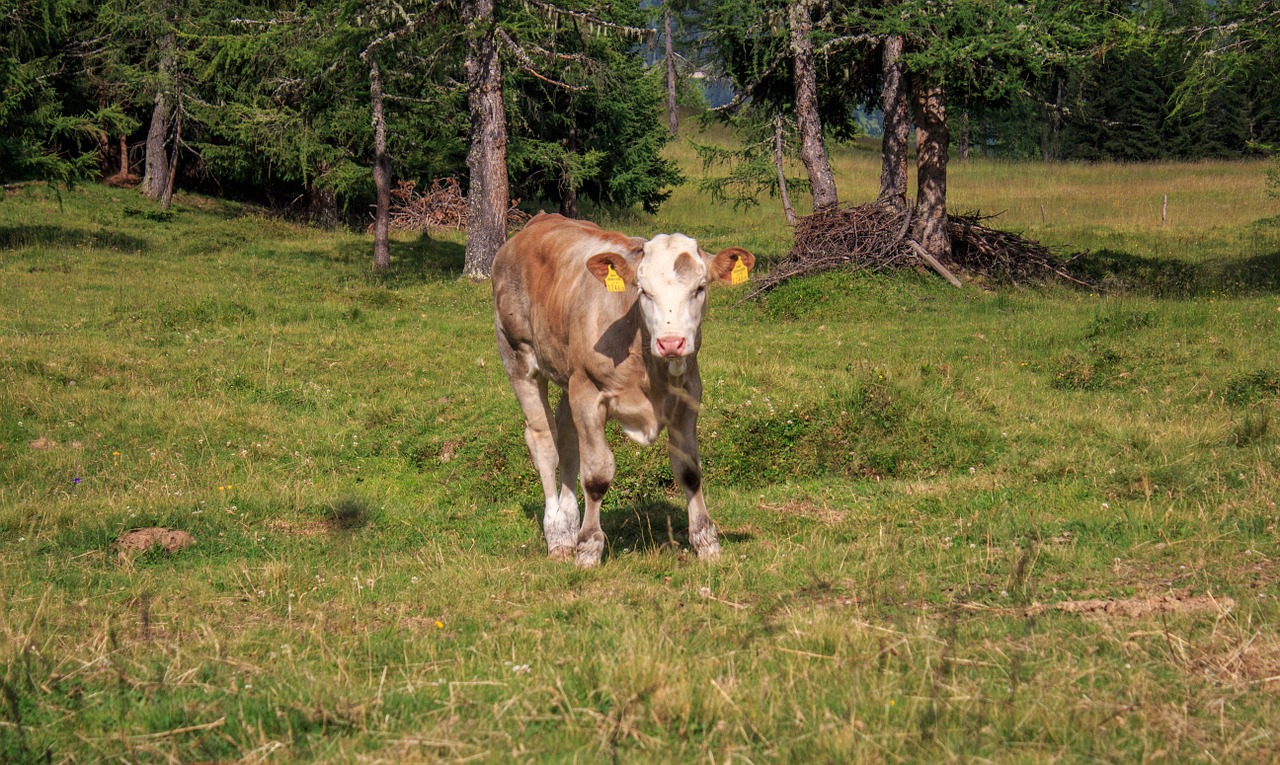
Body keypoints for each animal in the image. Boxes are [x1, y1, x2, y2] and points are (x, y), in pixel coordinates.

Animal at [486, 212, 747, 565]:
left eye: (700, 288)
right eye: (644, 291)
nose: (671, 342)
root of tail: (538, 221)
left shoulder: (689, 394)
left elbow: (689, 470)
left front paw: (707, 543)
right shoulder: (588, 393)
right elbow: (597, 475)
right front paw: (588, 549)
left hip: (569, 373)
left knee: (566, 436)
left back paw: (569, 523)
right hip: (517, 355)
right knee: (544, 440)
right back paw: (558, 535)